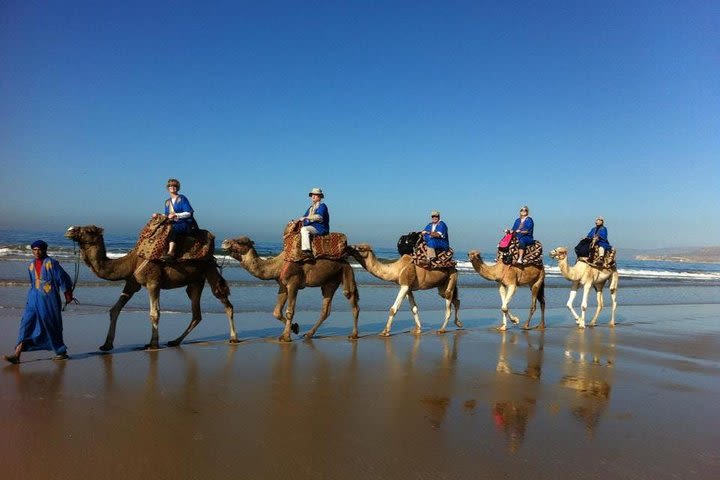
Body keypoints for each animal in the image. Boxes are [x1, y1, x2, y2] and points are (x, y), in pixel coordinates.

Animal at [63, 223, 238, 350]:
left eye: (89, 230)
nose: (70, 230)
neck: (131, 262)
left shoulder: (153, 282)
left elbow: (154, 313)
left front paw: (153, 344)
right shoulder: (132, 283)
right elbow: (115, 310)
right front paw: (106, 344)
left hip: (210, 270)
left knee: (225, 302)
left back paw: (233, 338)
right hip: (195, 281)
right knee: (196, 313)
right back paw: (175, 341)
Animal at [219, 235, 360, 342]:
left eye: (240, 241)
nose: (224, 242)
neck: (277, 266)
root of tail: (347, 260)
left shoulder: (293, 283)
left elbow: (289, 311)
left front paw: (285, 337)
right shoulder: (283, 285)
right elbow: (276, 311)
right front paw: (295, 328)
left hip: (346, 272)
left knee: (351, 300)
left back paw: (353, 335)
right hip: (330, 283)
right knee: (325, 309)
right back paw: (309, 334)